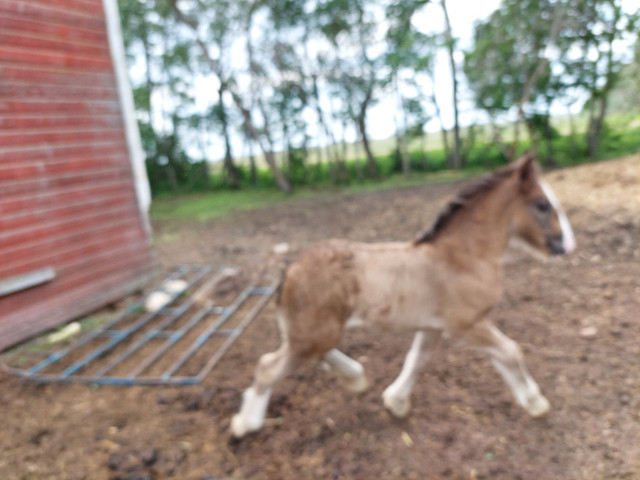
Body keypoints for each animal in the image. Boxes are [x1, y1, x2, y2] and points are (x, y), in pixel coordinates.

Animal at [230, 154, 576, 438]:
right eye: (542, 205)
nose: (567, 246)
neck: (464, 257)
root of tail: (291, 267)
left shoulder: (434, 327)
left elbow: (417, 360)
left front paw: (395, 401)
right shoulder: (467, 325)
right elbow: (511, 352)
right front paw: (535, 402)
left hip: (318, 331)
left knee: (311, 354)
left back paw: (355, 378)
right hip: (315, 333)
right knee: (268, 366)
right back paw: (245, 424)